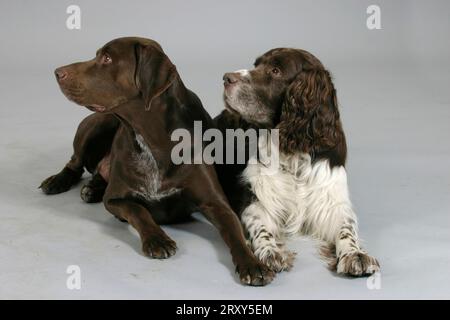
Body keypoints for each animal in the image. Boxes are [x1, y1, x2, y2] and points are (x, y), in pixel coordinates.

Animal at [40, 37, 274, 284]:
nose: (57, 72)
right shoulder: (115, 199)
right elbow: (139, 211)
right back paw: (59, 182)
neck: (154, 138)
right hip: (97, 125)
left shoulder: (216, 203)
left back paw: (92, 187)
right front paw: (157, 239)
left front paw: (252, 263)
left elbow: (234, 232)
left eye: (107, 58)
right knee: (74, 162)